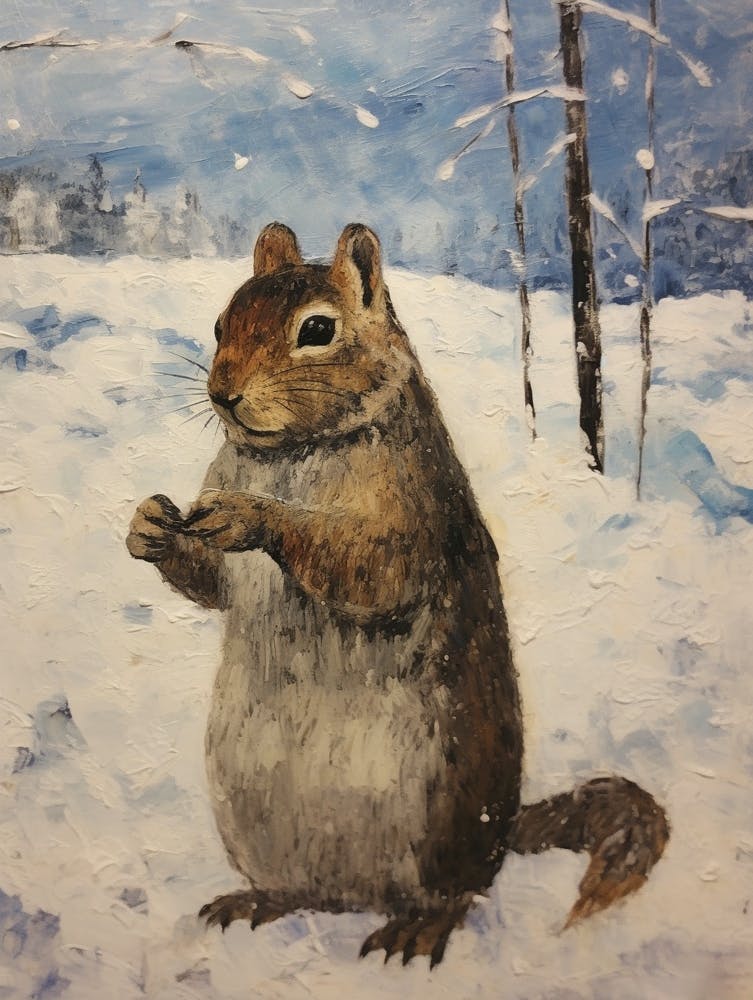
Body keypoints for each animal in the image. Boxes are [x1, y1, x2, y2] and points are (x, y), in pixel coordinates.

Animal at [126, 222, 669, 968]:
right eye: (219, 323)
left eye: (317, 329)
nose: (222, 393)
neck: (289, 454)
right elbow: (210, 583)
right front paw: (147, 525)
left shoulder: (412, 507)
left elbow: (373, 570)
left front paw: (254, 516)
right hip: (252, 818)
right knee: (304, 891)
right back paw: (259, 902)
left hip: (442, 819)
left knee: (458, 894)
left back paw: (419, 929)